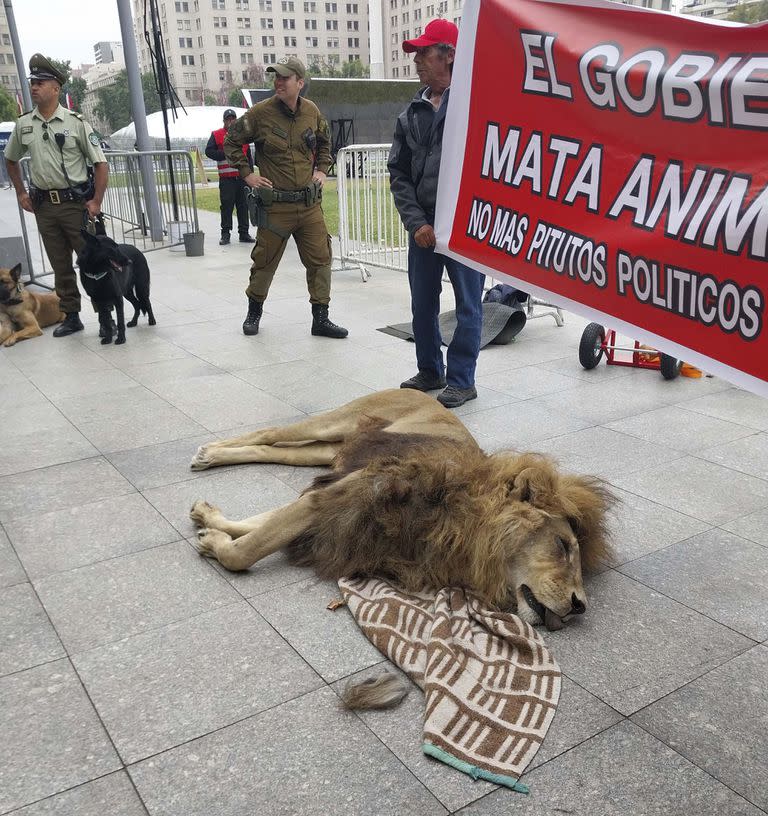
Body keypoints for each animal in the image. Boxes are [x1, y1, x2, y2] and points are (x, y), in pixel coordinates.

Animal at [189, 388, 616, 632]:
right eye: (562, 546)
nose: (580, 606)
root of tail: (424, 393)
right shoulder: (347, 491)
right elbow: (249, 550)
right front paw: (215, 543)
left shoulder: (335, 493)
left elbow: (261, 524)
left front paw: (211, 522)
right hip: (335, 423)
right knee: (271, 433)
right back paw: (208, 452)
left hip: (328, 451)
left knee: (273, 448)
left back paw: (211, 461)